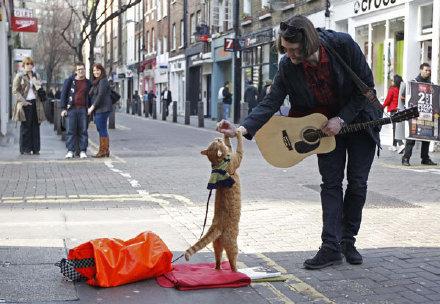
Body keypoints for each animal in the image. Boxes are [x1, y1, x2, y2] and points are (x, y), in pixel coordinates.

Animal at [183, 130, 242, 270]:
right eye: (217, 142)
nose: (218, 137)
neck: (218, 164)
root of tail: (217, 225)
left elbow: (229, 145)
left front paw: (226, 132)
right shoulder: (236, 159)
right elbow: (239, 147)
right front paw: (238, 132)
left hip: (216, 244)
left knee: (218, 259)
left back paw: (218, 268)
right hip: (232, 244)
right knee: (232, 260)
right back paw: (236, 270)